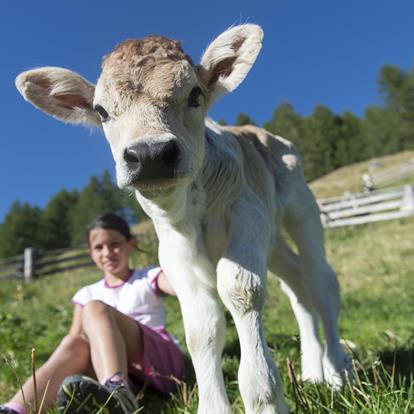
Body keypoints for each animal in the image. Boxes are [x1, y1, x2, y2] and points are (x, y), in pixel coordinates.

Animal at [15, 24, 350, 412]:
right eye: (101, 111)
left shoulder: (246, 215)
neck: (191, 214)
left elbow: (240, 288)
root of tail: (258, 133)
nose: (150, 154)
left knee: (319, 280)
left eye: (194, 94)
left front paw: (265, 398)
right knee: (295, 284)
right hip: (272, 240)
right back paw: (313, 372)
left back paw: (338, 372)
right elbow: (201, 325)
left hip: (301, 207)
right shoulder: (174, 250)